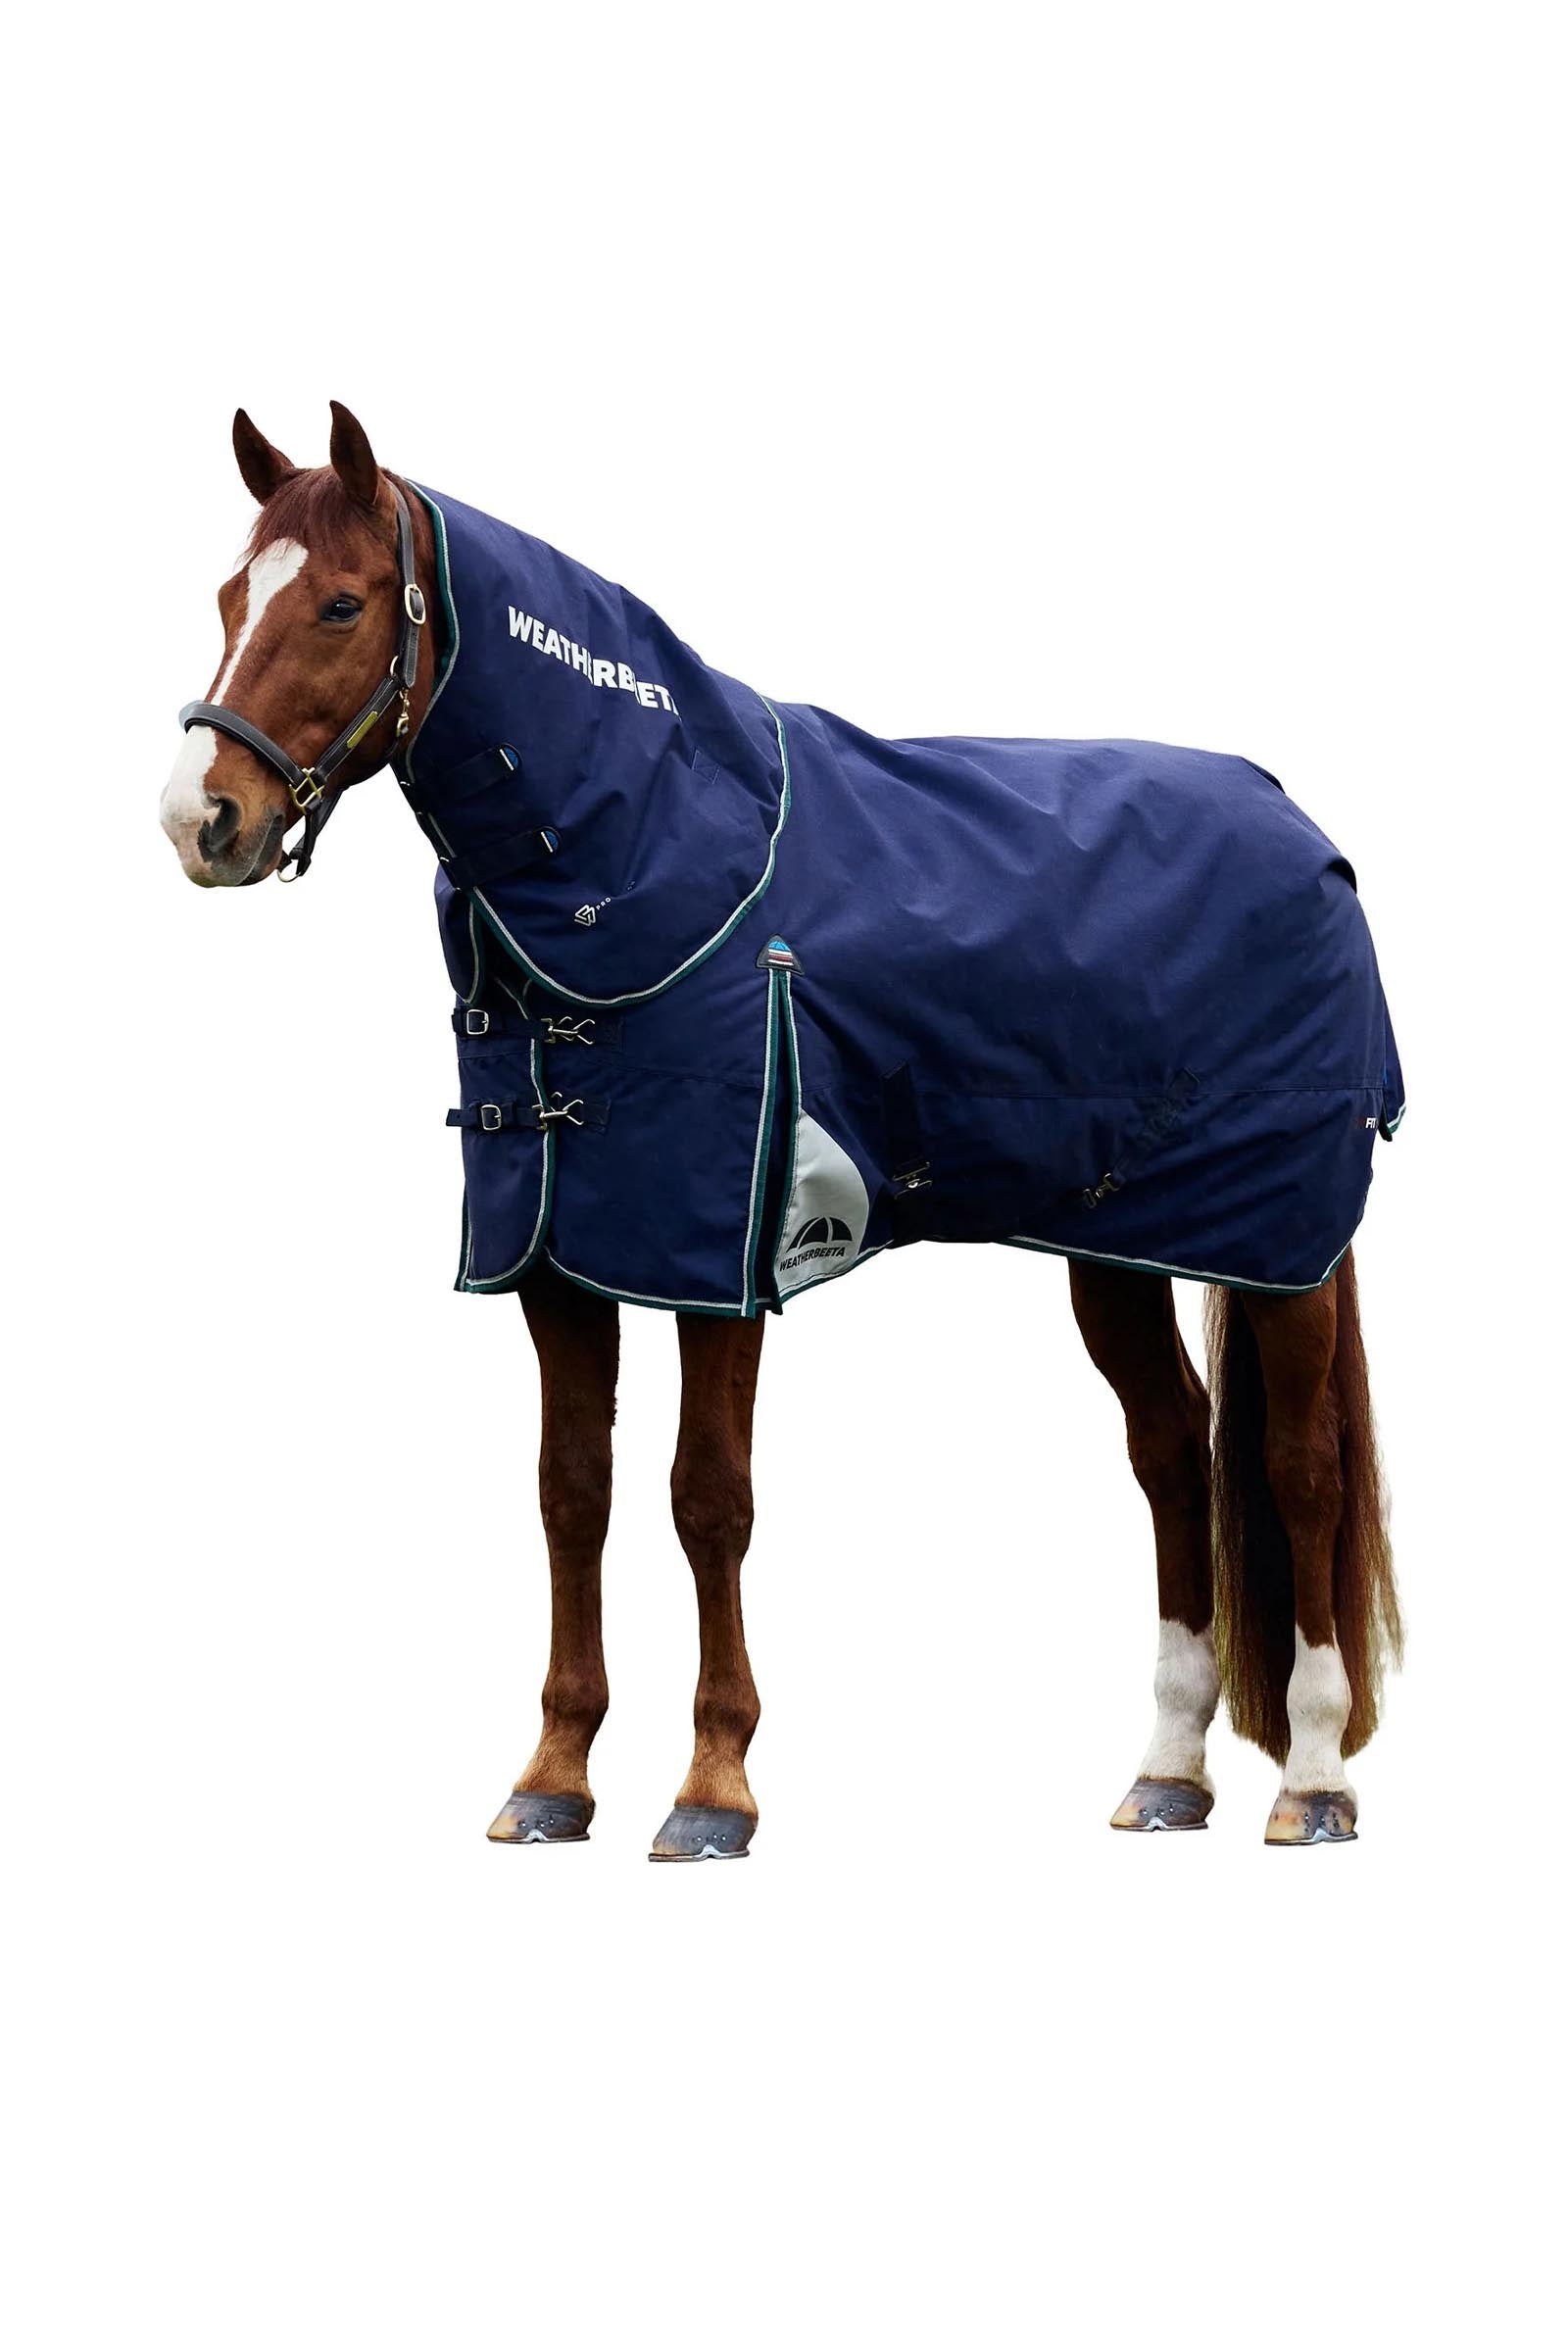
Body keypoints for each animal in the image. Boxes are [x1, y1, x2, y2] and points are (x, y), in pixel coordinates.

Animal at [161, 401, 1404, 1855]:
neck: (661, 849)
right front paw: (554, 1776)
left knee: (1300, 1465)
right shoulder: (560, 1255)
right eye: (231, 595)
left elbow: (708, 1498)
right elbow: (572, 1491)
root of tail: (1300, 828)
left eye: (344, 602)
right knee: (1172, 1453)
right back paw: (1165, 1775)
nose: (202, 819)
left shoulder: (721, 1259)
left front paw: (712, 1787)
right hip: (1120, 1246)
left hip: (1284, 1248)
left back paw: (1313, 1779)